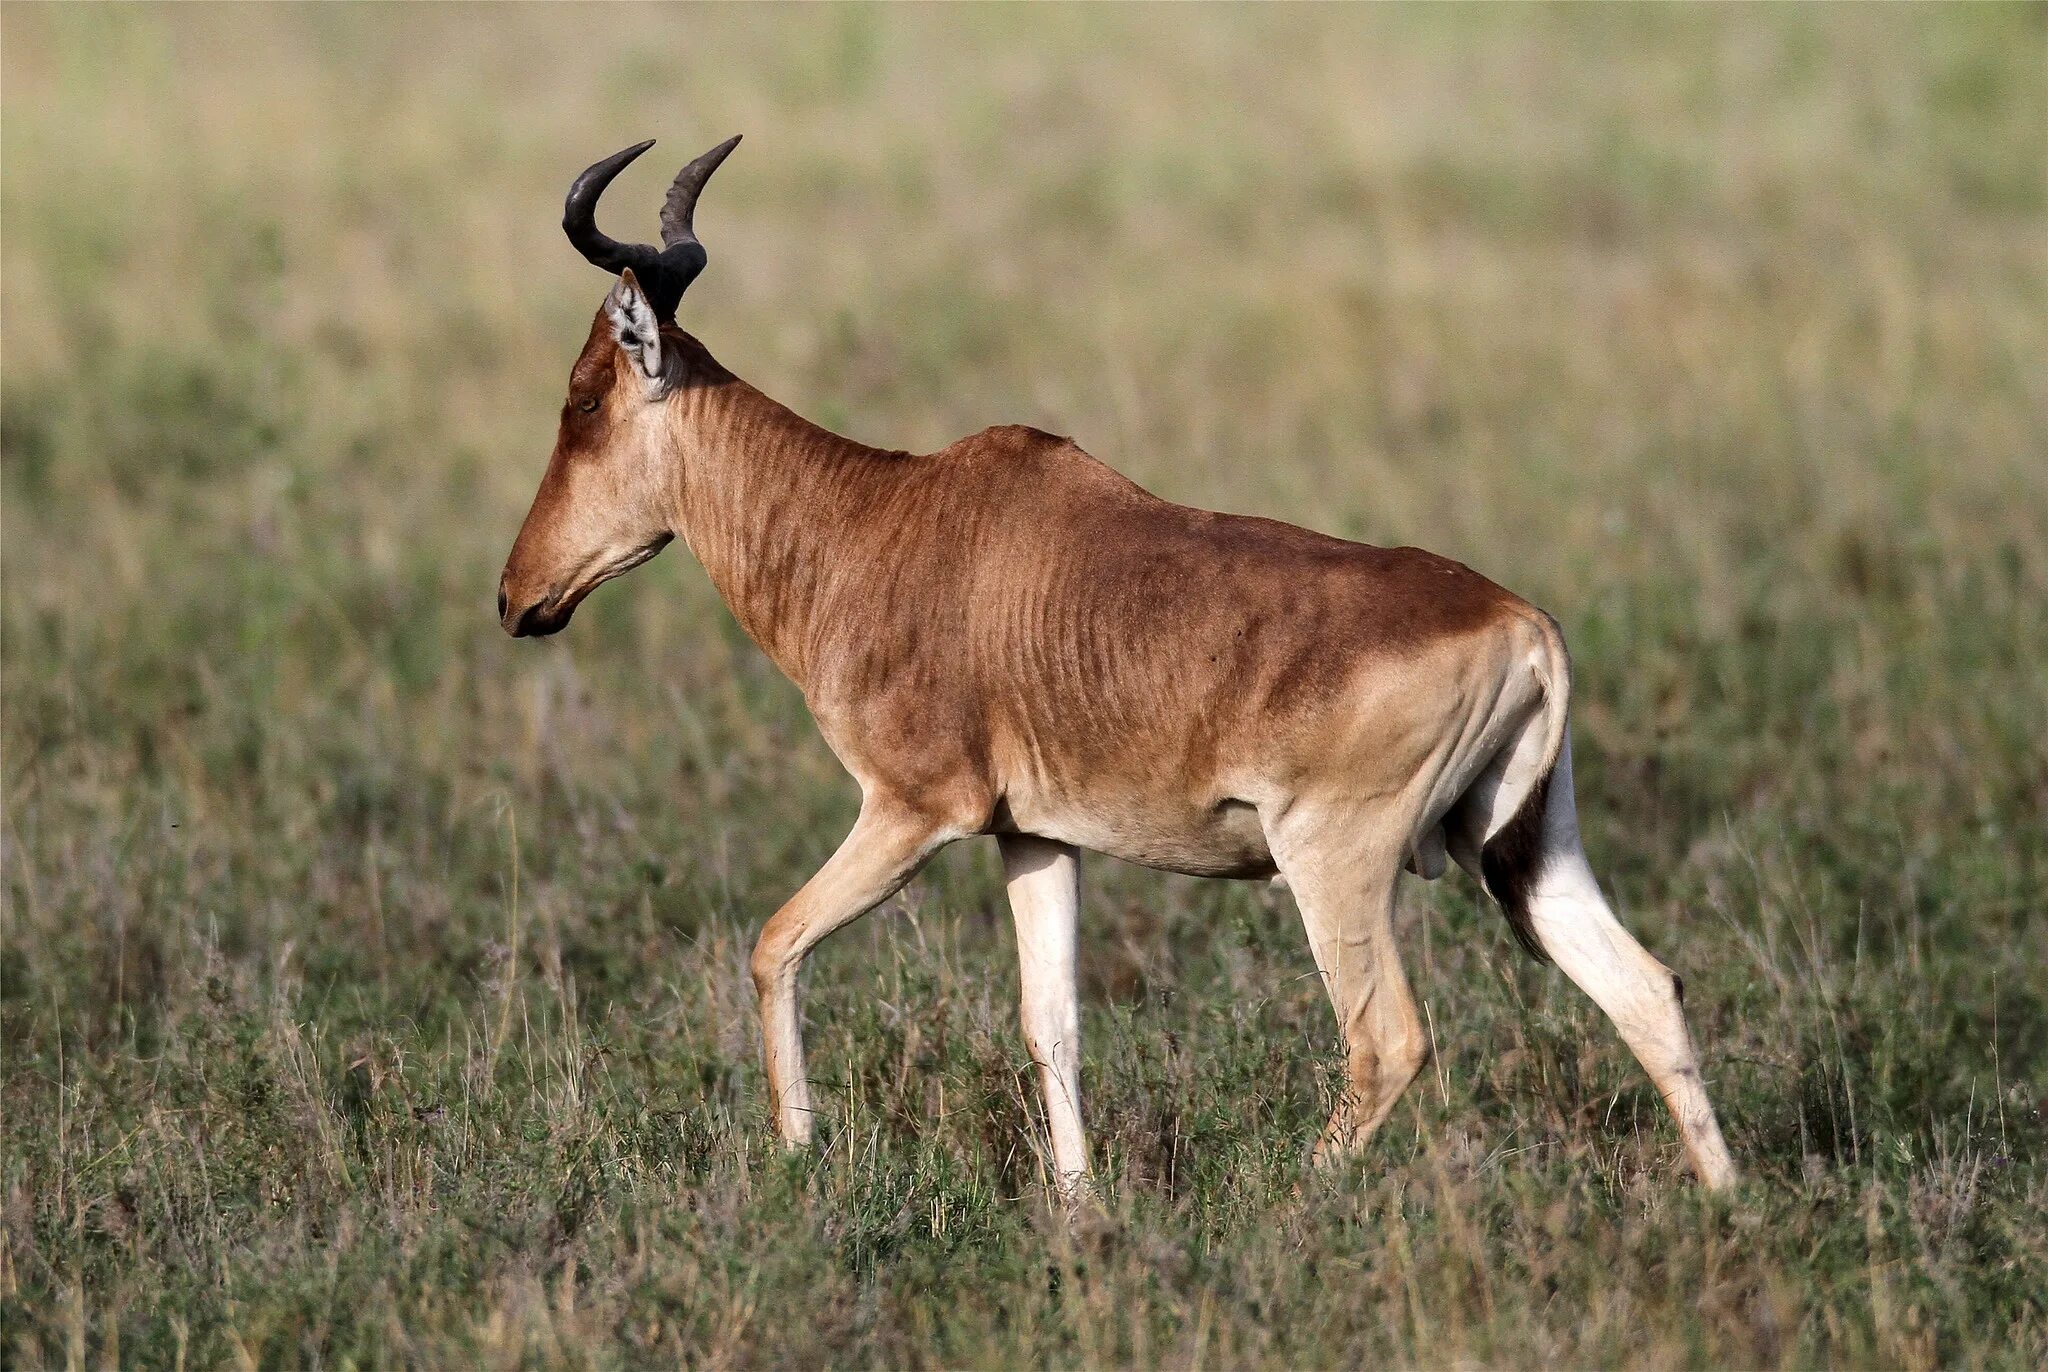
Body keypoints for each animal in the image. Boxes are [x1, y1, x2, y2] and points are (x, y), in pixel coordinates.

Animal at [499, 134, 1744, 1195]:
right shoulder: (1034, 834)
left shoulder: (913, 809)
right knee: (1646, 990)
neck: (888, 523)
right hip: (1524, 844)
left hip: (1332, 857)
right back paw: (1724, 1204)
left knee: (1385, 1038)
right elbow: (1049, 1022)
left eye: (581, 399)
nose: (517, 599)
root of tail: (1521, 622)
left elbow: (771, 945)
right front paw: (1078, 1207)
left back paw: (1288, 1210)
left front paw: (799, 1155)